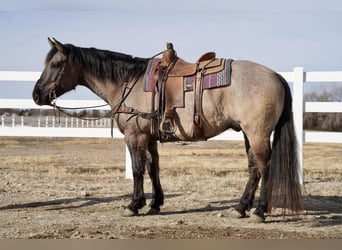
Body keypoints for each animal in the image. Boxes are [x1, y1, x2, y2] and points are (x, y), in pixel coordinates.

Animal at [33, 38, 304, 222]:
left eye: (56, 63)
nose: (36, 95)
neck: (127, 82)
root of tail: (277, 76)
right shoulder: (150, 137)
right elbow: (153, 168)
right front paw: (155, 204)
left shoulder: (135, 137)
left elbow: (137, 169)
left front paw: (134, 205)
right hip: (249, 134)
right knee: (253, 168)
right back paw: (241, 207)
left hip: (257, 133)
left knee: (265, 167)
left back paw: (259, 211)